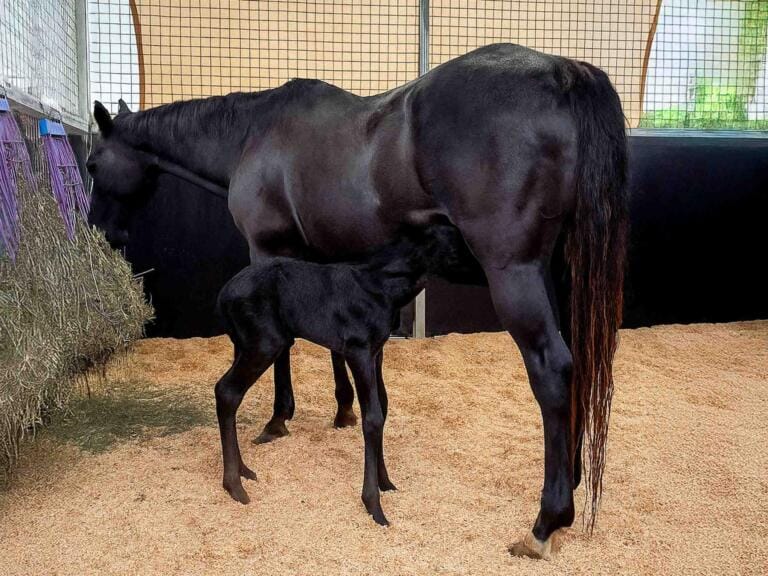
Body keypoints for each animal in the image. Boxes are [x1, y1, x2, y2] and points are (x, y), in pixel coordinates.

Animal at [86, 43, 628, 559]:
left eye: (93, 162)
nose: (99, 229)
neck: (252, 135)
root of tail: (561, 71)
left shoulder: (268, 250)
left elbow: (285, 348)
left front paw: (279, 418)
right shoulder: (326, 262)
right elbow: (333, 342)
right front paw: (344, 410)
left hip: (514, 273)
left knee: (552, 369)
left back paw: (546, 522)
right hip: (563, 273)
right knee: (580, 364)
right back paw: (572, 480)